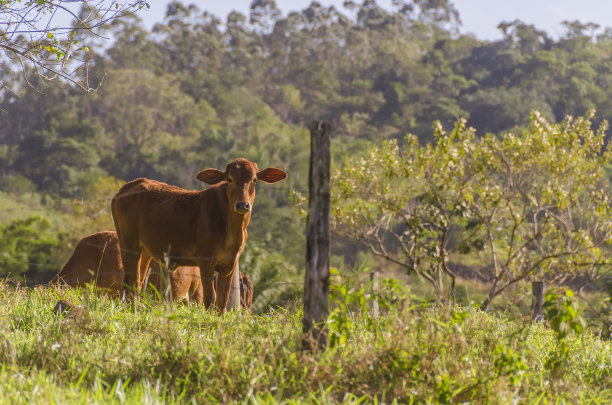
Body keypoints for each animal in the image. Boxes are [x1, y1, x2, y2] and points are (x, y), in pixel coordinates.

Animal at [110, 156, 286, 310]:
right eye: (229, 179)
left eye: (254, 180)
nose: (243, 205)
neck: (231, 229)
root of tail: (127, 187)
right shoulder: (206, 261)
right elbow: (210, 299)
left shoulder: (230, 264)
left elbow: (222, 301)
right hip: (128, 244)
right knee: (130, 281)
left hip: (145, 250)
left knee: (138, 283)